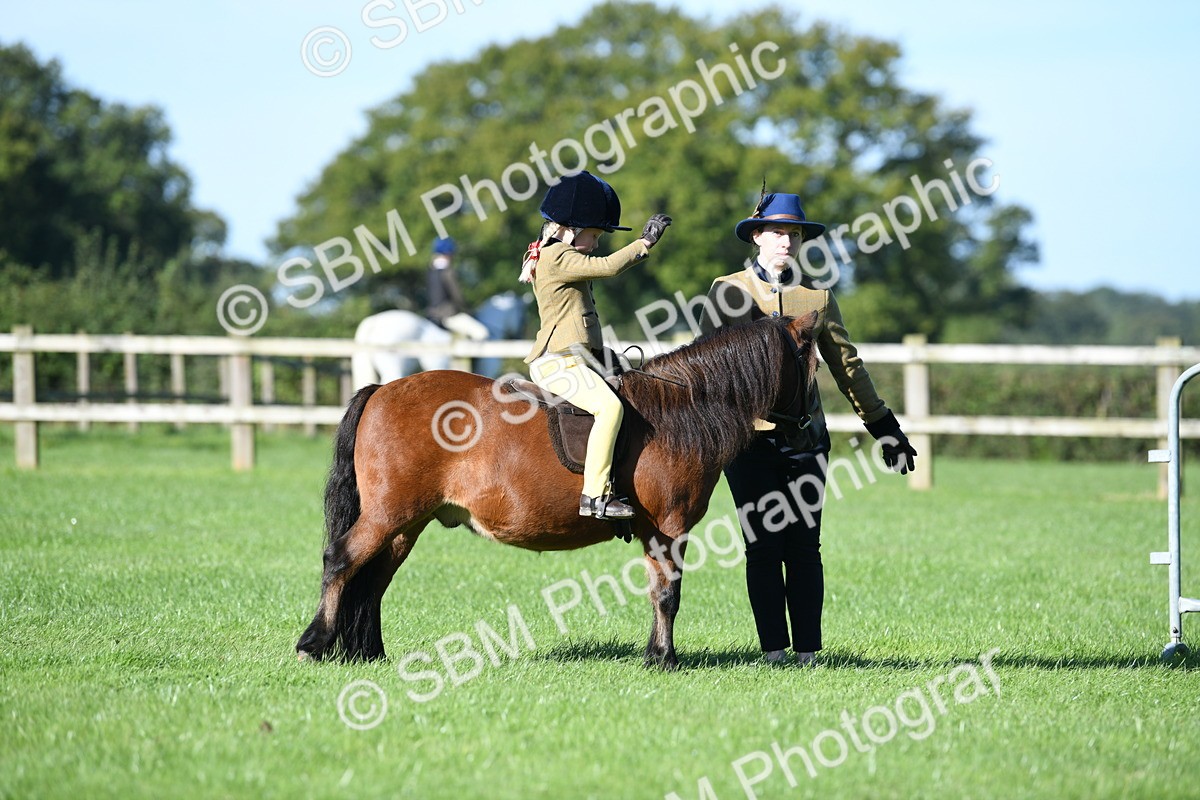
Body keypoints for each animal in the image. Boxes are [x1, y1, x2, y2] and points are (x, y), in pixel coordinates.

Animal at [297, 313, 818, 670]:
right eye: (809, 364)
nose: (808, 434)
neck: (679, 409)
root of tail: (383, 389)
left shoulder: (656, 531)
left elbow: (657, 591)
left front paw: (654, 654)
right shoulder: (670, 527)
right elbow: (669, 593)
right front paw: (666, 659)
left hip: (406, 524)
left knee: (372, 581)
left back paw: (369, 653)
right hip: (388, 515)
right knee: (340, 561)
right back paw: (314, 643)